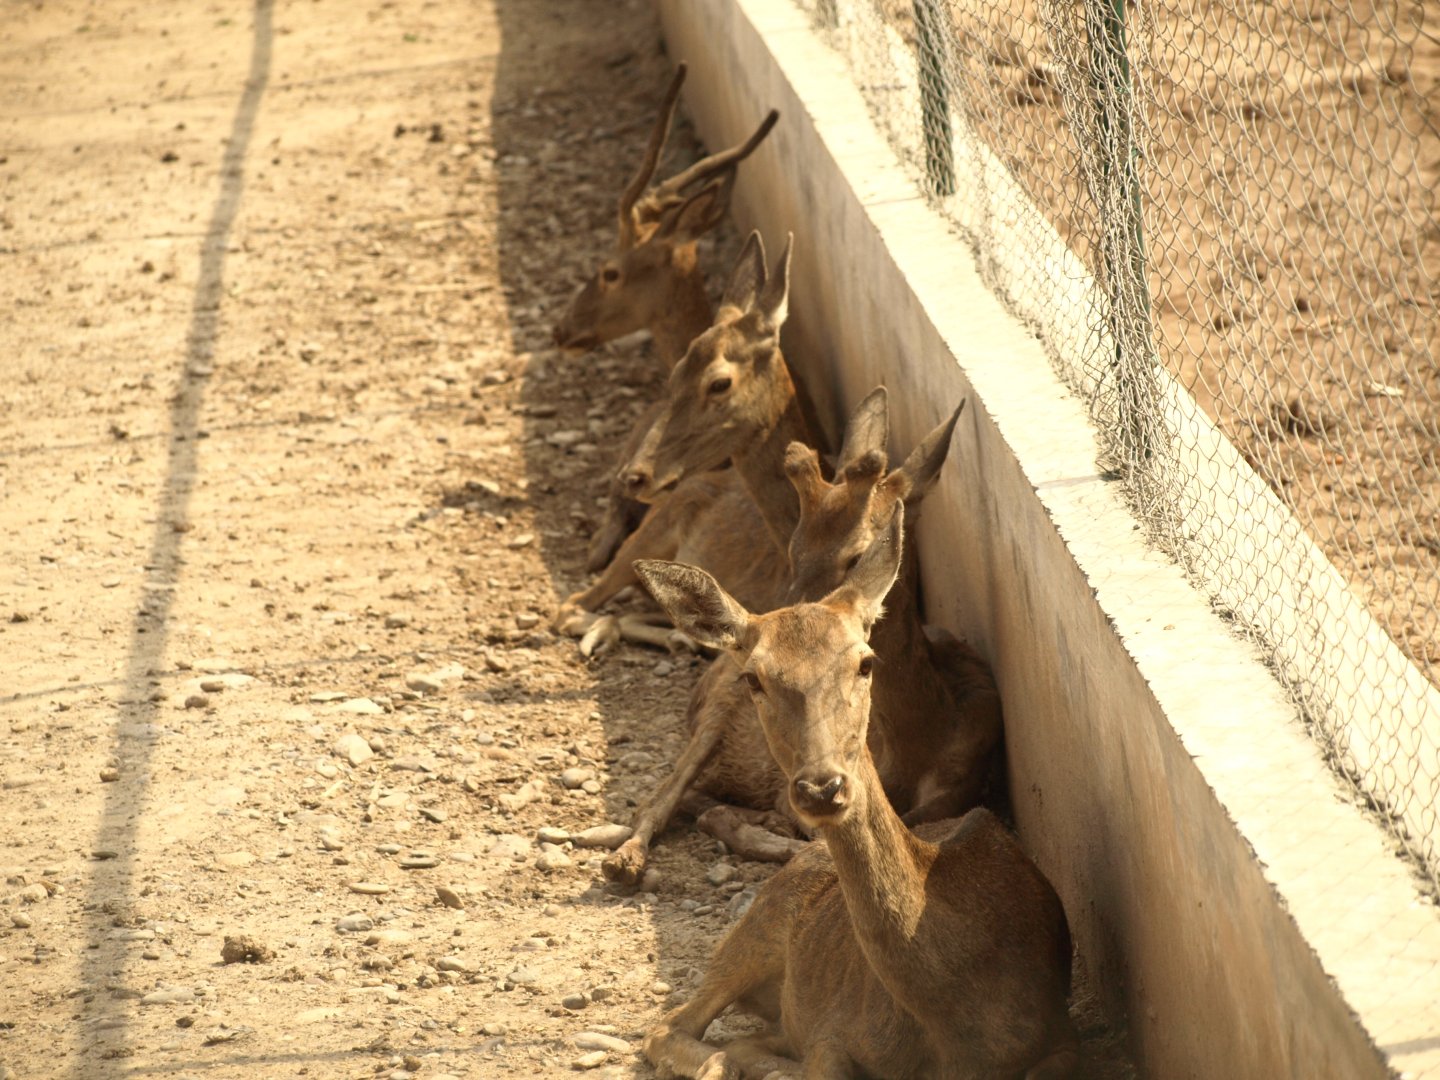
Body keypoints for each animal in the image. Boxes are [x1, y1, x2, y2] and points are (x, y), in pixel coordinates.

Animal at [634, 504, 1077, 1080]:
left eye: (865, 661)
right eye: (754, 678)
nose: (821, 788)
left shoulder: (1061, 1038)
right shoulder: (833, 1031)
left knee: (742, 1041)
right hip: (753, 930)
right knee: (673, 1026)